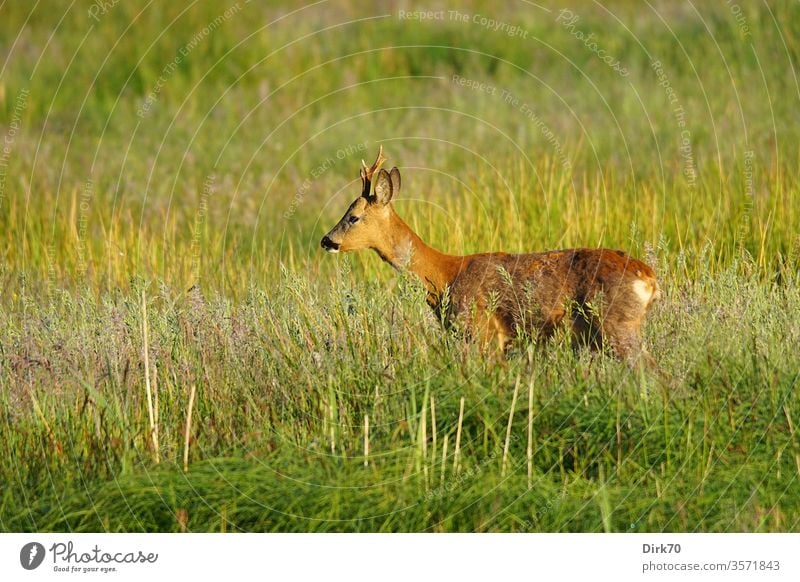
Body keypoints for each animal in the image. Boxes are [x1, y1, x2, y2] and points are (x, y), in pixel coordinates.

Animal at [320, 147, 664, 360]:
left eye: (353, 217)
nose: (326, 240)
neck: (444, 276)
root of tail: (650, 279)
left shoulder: (482, 330)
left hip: (617, 324)